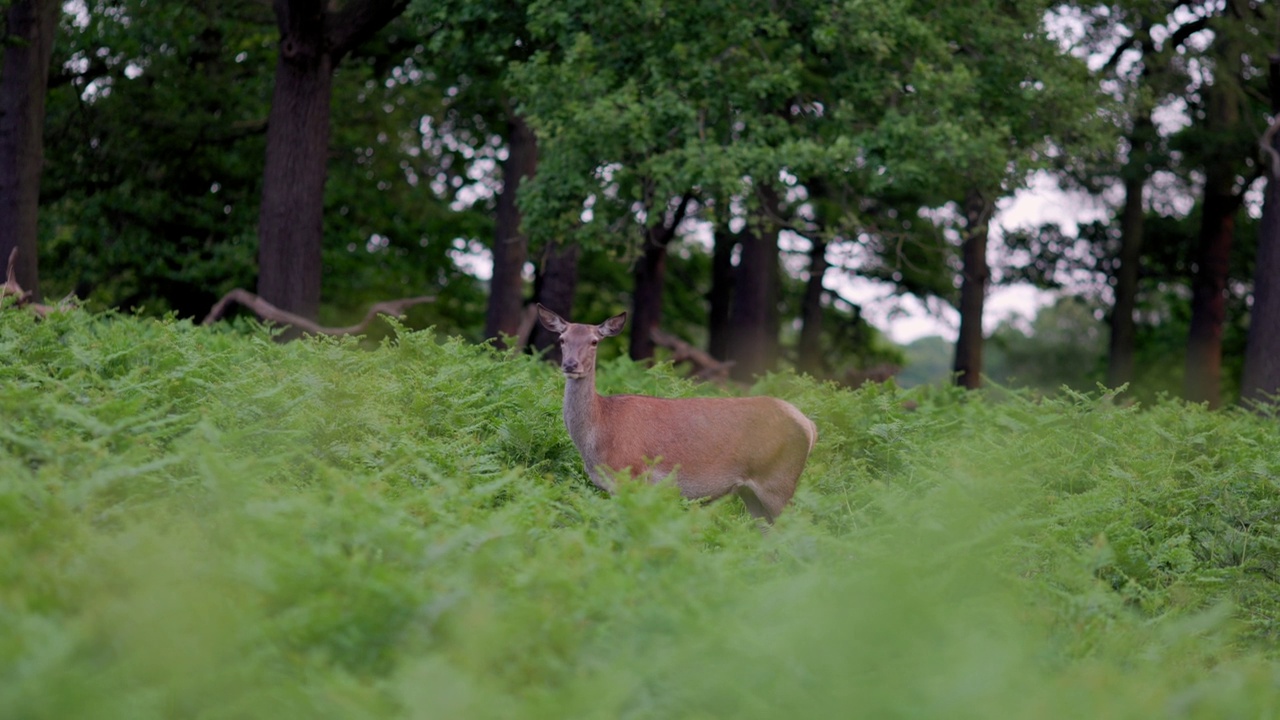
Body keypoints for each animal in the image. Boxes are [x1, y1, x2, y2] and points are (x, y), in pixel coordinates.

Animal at [535, 302, 814, 520]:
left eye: (594, 341)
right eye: (562, 339)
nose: (571, 365)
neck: (598, 435)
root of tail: (810, 426)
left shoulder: (632, 475)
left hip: (778, 481)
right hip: (751, 492)